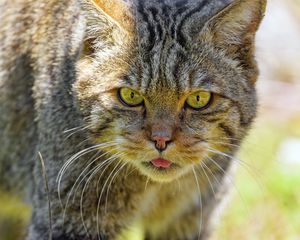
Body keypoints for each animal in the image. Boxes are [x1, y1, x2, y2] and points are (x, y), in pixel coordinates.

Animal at [0, 0, 266, 239]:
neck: (156, 189)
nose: (161, 140)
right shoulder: (68, 218)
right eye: (130, 96)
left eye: (199, 99)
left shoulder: (190, 217)